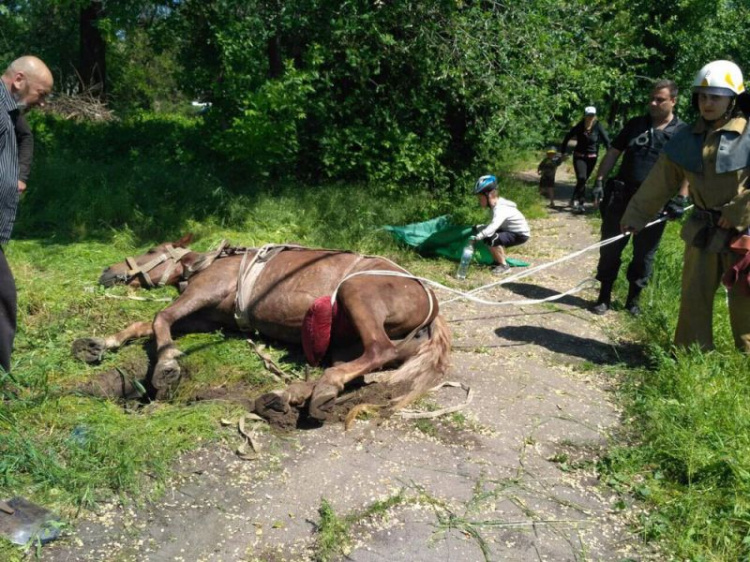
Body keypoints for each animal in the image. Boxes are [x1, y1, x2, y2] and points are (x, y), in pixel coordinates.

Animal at [75, 235, 452, 420]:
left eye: (151, 249)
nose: (107, 271)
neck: (207, 263)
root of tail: (431, 304)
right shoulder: (206, 317)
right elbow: (147, 324)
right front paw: (100, 343)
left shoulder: (204, 291)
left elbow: (160, 319)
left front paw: (167, 366)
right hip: (348, 342)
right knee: (352, 370)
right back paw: (294, 395)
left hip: (357, 294)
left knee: (377, 350)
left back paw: (313, 391)